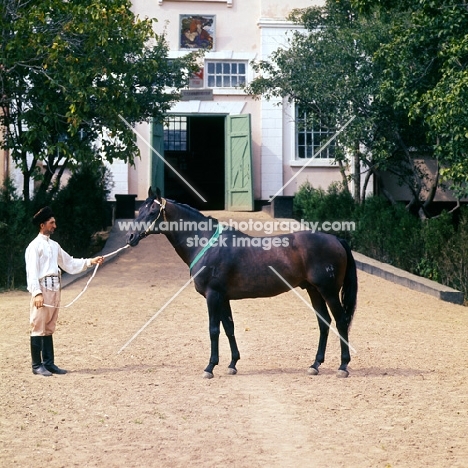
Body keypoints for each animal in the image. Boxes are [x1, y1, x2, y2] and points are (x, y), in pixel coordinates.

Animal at [126, 188, 356, 378]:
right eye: (141, 210)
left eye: (151, 211)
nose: (130, 237)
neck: (205, 242)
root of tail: (336, 239)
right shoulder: (223, 297)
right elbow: (229, 327)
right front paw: (232, 364)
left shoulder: (213, 295)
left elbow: (214, 329)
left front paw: (210, 367)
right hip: (313, 290)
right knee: (324, 322)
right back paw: (315, 365)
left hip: (329, 291)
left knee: (340, 321)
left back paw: (343, 366)